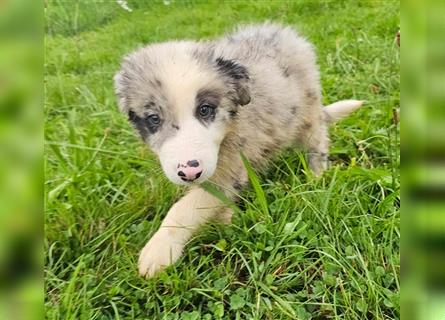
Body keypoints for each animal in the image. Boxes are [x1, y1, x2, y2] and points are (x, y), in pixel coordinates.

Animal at [114, 23, 360, 278]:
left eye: (205, 109)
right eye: (154, 119)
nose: (189, 172)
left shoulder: (231, 167)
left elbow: (185, 207)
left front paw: (159, 249)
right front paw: (225, 220)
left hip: (308, 114)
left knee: (317, 142)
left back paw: (317, 176)